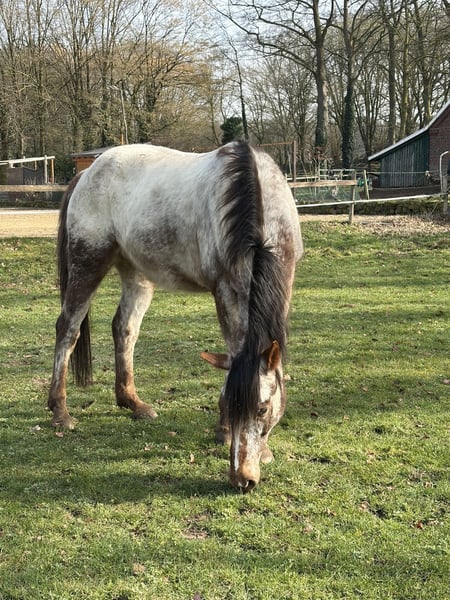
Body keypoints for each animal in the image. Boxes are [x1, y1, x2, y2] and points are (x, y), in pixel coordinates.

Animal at [48, 140, 303, 492]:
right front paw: (225, 431)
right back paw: (60, 412)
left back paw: (133, 403)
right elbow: (234, 349)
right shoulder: (225, 290)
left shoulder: (285, 280)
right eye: (230, 403)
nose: (243, 479)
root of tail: (87, 173)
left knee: (124, 328)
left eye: (263, 408)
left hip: (136, 272)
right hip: (88, 263)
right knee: (68, 329)